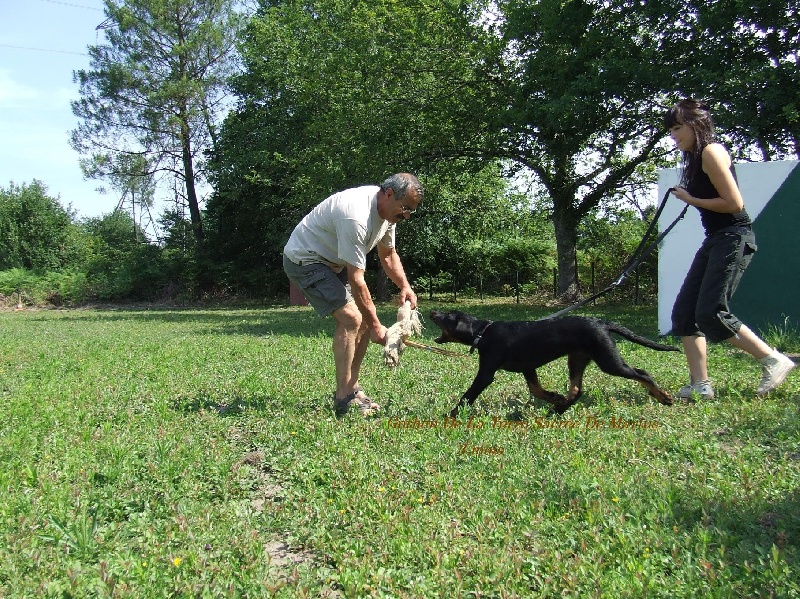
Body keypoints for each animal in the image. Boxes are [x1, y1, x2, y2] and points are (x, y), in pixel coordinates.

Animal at [428, 310, 680, 418]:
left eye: (446, 316)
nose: (431, 311)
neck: (482, 332)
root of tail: (602, 323)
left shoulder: (486, 373)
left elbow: (468, 395)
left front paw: (450, 414)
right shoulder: (528, 368)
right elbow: (536, 390)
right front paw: (554, 397)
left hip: (608, 360)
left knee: (642, 373)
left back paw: (664, 397)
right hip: (577, 359)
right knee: (577, 390)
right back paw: (559, 408)